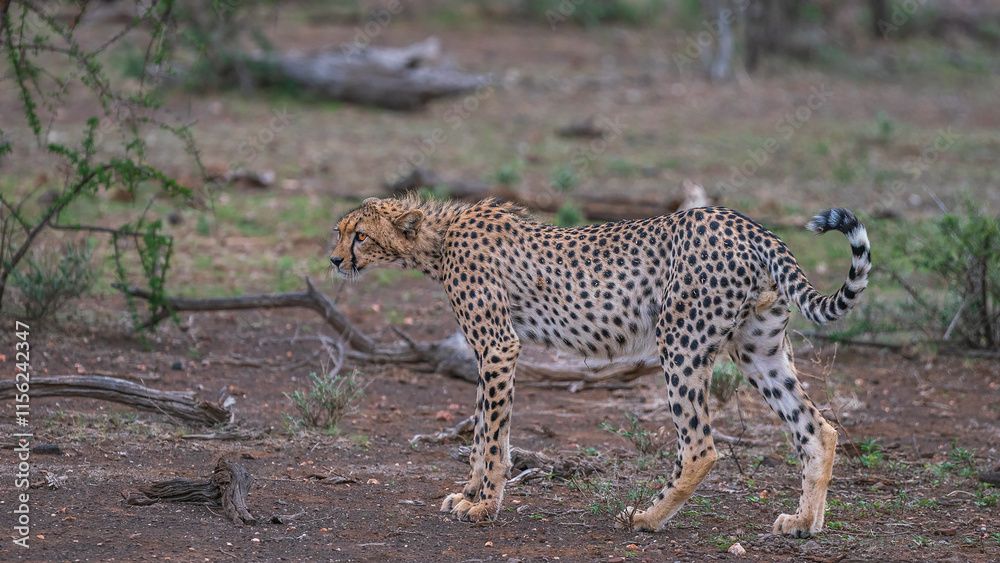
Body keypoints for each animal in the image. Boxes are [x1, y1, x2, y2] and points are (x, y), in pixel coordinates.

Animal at [330, 195, 871, 537]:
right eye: (339, 232)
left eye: (360, 236)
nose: (334, 261)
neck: (437, 240)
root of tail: (749, 224)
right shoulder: (492, 350)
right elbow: (486, 428)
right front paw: (468, 494)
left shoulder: (498, 346)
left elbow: (490, 433)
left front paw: (482, 503)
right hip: (758, 349)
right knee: (817, 428)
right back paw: (804, 524)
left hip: (680, 342)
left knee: (699, 446)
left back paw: (647, 518)